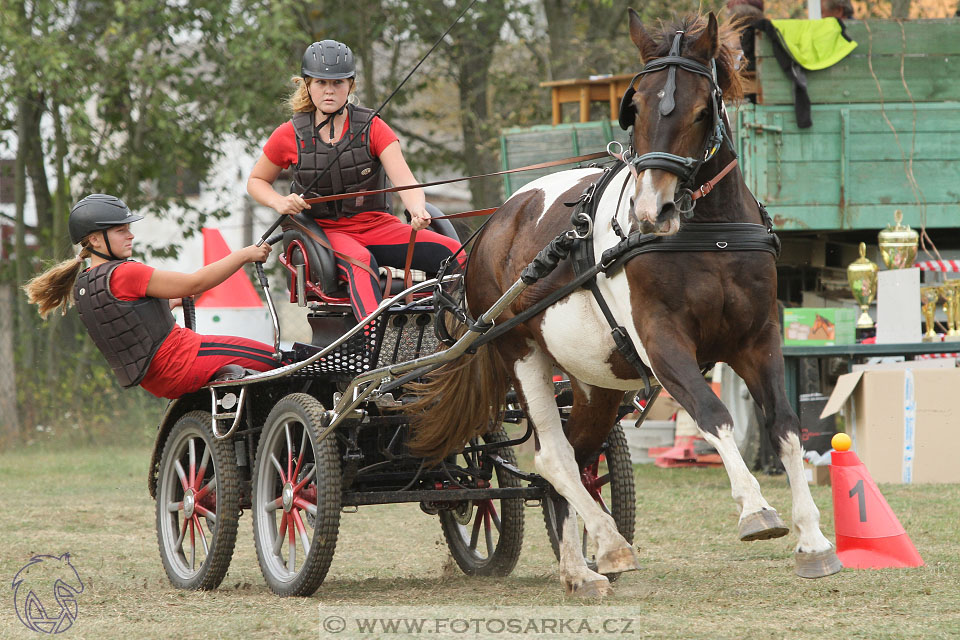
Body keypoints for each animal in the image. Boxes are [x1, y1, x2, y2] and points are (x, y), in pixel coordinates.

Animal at [404, 10, 840, 596]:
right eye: (634, 110)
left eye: (703, 110)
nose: (651, 211)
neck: (709, 237)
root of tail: (493, 225)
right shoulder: (663, 342)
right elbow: (713, 413)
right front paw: (755, 510)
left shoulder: (759, 339)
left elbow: (787, 427)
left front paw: (813, 541)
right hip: (522, 353)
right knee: (555, 456)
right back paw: (610, 544)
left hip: (595, 380)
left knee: (579, 457)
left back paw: (578, 568)